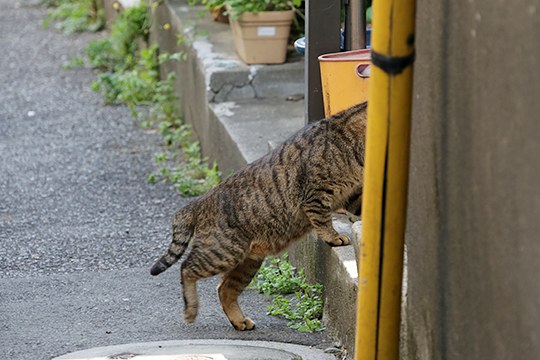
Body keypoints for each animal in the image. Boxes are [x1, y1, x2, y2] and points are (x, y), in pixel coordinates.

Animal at [150, 101, 368, 330]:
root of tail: (200, 201)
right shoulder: (315, 194)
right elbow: (323, 220)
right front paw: (334, 236)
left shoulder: (353, 196)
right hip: (222, 252)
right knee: (187, 268)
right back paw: (191, 310)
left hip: (247, 262)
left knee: (224, 289)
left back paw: (239, 320)